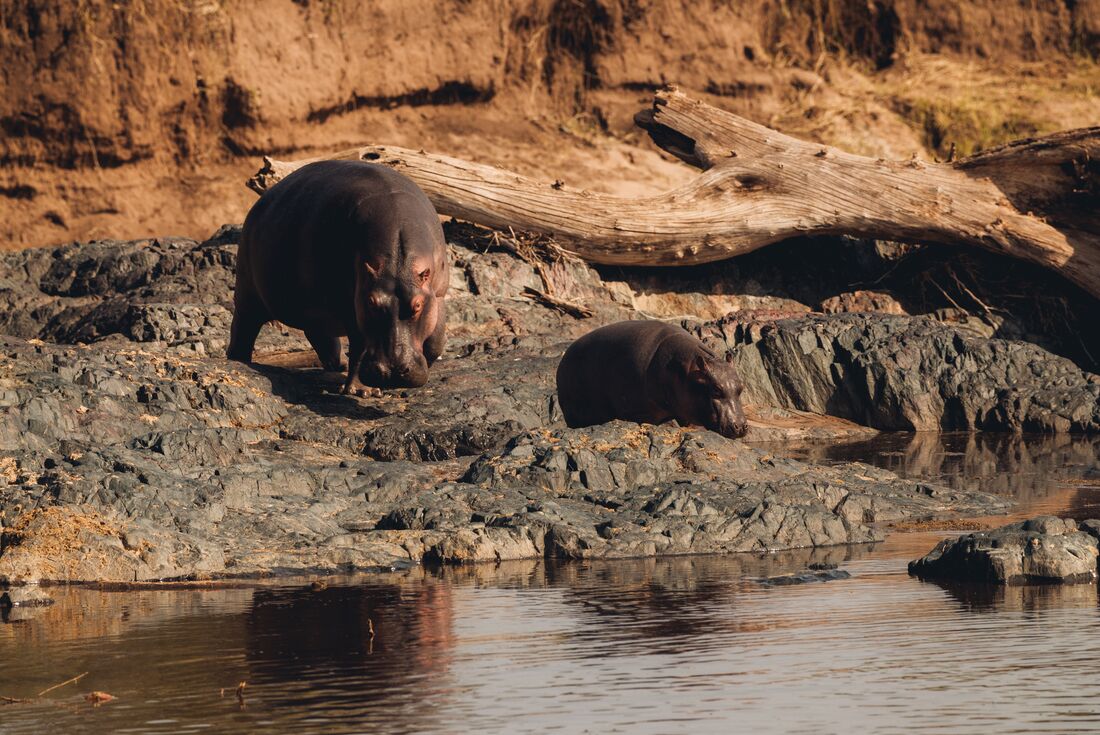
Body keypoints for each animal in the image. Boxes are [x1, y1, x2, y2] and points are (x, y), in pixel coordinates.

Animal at [227, 160, 449, 395]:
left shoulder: (438, 293)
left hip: (312, 305)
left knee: (319, 334)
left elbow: (436, 340)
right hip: (248, 292)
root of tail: (261, 202)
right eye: (372, 302)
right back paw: (238, 360)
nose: (392, 372)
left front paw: (429, 361)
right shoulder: (352, 303)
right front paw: (363, 391)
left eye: (417, 305)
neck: (398, 263)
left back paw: (339, 366)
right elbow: (360, 343)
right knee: (243, 327)